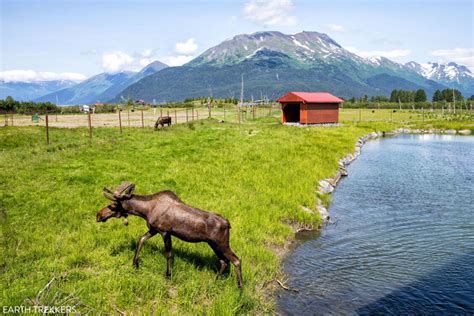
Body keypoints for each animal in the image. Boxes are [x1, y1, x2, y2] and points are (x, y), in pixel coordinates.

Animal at [96, 181, 244, 288]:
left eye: (113, 205)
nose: (98, 215)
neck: (145, 211)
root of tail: (228, 224)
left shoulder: (165, 231)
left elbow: (168, 254)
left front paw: (168, 275)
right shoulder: (154, 229)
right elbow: (141, 239)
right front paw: (135, 264)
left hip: (221, 243)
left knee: (236, 260)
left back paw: (241, 288)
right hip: (213, 244)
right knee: (224, 261)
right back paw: (215, 280)